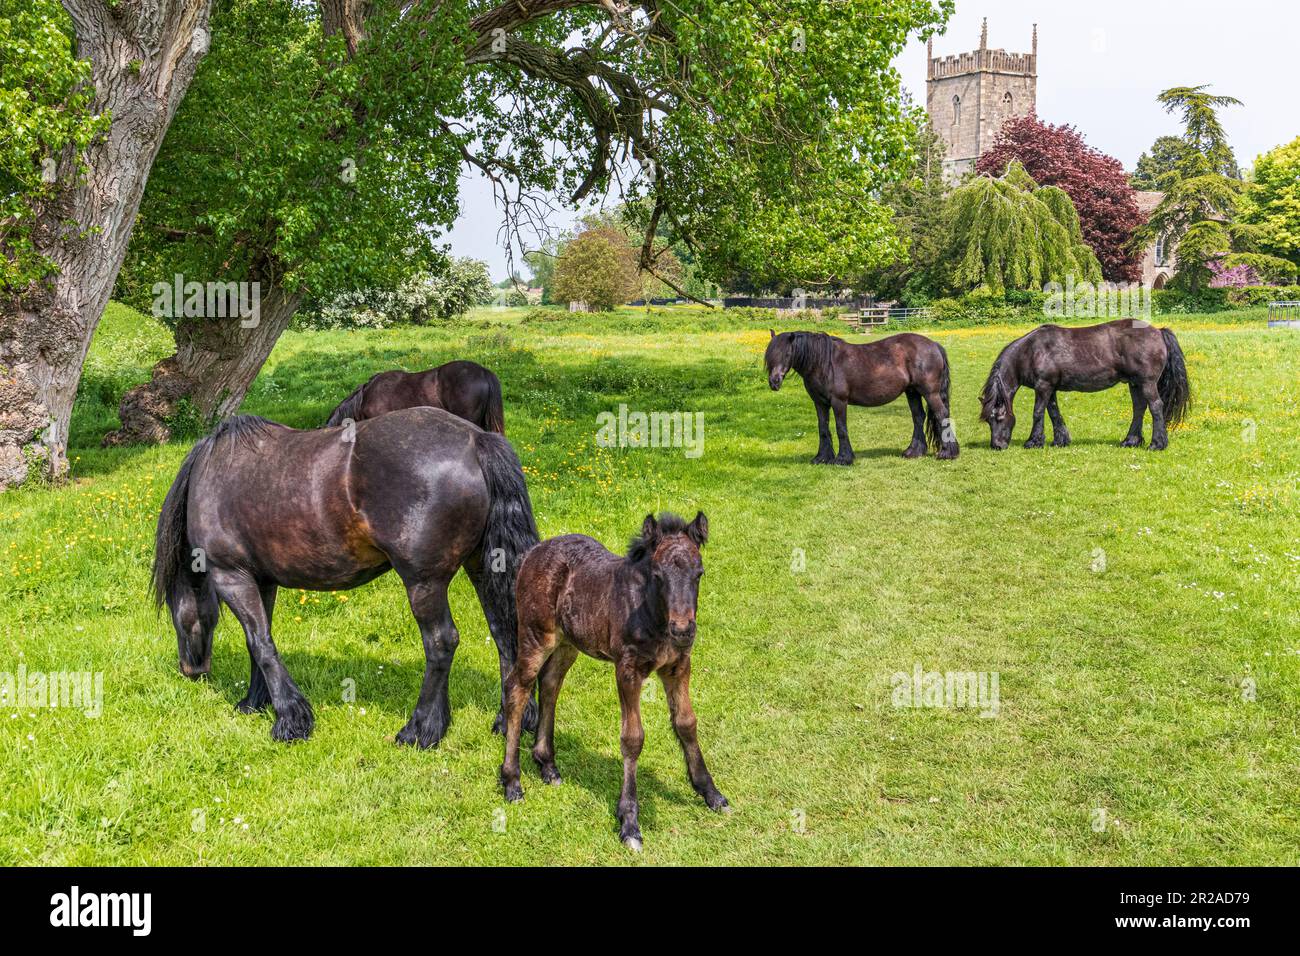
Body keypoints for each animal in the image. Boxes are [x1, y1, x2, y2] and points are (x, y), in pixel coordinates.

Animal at [153, 403, 538, 749]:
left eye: (173, 610)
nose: (191, 670)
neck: (211, 474)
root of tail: (476, 440)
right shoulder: (261, 581)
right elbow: (260, 640)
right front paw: (255, 703)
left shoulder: (232, 576)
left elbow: (260, 644)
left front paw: (290, 721)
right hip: (483, 568)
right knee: (505, 634)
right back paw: (509, 722)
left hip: (423, 582)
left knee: (441, 643)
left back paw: (419, 731)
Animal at [759, 329, 956, 463]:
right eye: (770, 356)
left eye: (787, 354)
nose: (774, 382)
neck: (824, 363)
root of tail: (934, 345)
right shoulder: (820, 403)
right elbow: (823, 428)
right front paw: (822, 458)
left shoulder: (839, 402)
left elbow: (841, 428)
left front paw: (843, 458)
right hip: (912, 392)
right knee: (918, 417)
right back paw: (913, 452)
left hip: (930, 393)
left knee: (941, 415)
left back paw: (947, 453)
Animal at [977, 321, 1190, 452]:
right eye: (988, 420)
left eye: (999, 417)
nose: (997, 445)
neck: (1031, 351)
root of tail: (1158, 331)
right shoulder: (1050, 389)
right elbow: (1054, 413)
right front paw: (1060, 440)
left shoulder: (1043, 386)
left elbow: (1038, 412)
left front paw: (1033, 441)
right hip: (1135, 383)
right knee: (1139, 408)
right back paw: (1130, 441)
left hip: (1146, 383)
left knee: (1155, 407)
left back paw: (1157, 444)